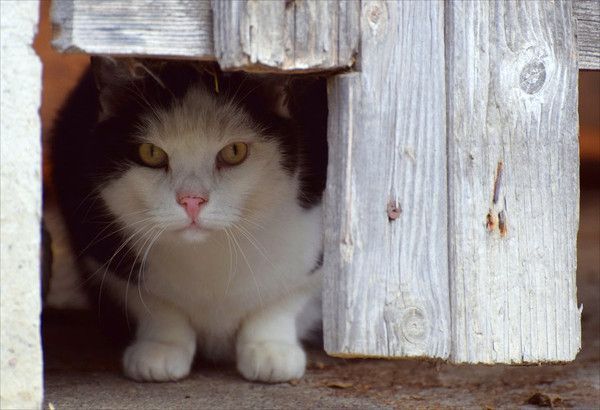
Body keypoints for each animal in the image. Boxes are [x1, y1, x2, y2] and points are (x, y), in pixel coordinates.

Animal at [52, 56, 328, 382]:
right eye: (151, 153)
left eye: (234, 151)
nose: (192, 200)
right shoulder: (102, 253)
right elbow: (155, 305)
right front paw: (161, 348)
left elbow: (287, 297)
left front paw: (270, 348)